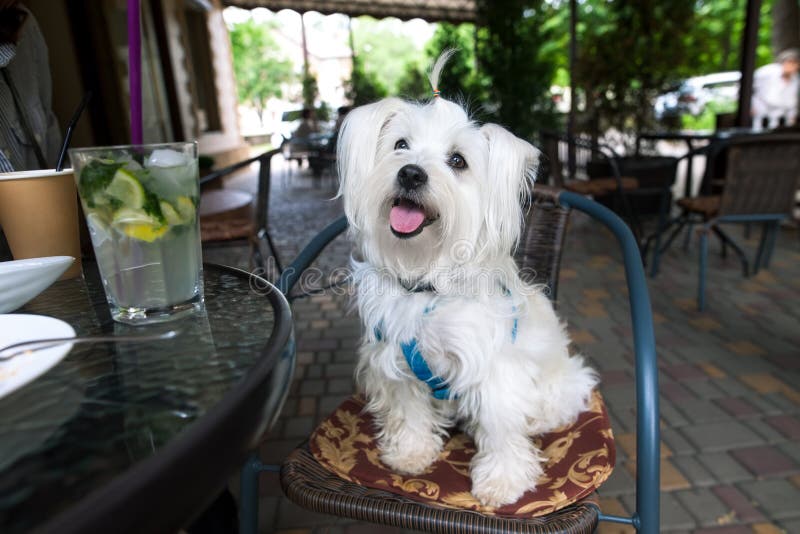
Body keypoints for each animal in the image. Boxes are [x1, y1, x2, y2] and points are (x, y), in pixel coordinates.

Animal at [334, 54, 596, 510]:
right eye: (400, 145)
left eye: (457, 161)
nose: (411, 174)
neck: (427, 286)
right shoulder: (396, 364)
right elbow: (409, 412)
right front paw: (411, 452)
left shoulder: (494, 374)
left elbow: (502, 432)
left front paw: (503, 480)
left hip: (561, 381)